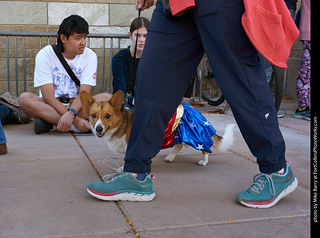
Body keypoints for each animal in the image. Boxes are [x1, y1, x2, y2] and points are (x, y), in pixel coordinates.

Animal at [80, 90, 235, 166]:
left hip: (197, 136)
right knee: (178, 146)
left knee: (205, 149)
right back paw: (170, 157)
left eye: (107, 116)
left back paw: (204, 161)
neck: (120, 125)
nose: (98, 129)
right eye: (93, 115)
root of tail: (195, 110)